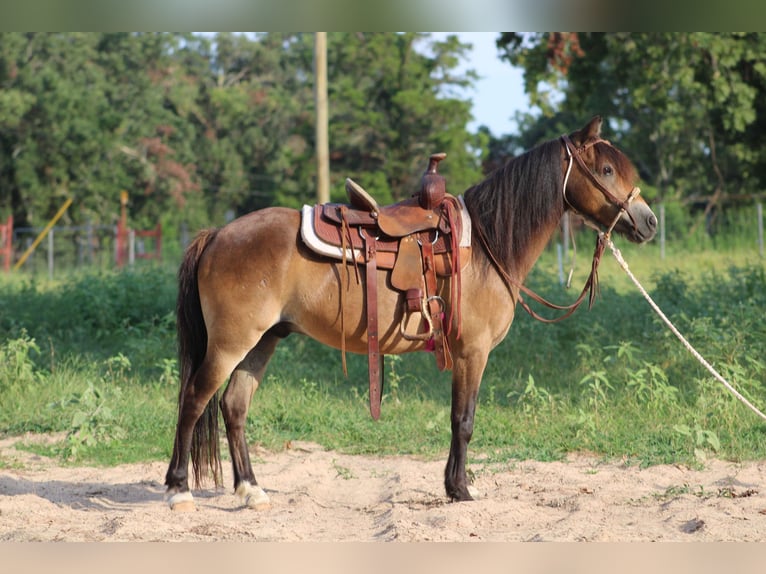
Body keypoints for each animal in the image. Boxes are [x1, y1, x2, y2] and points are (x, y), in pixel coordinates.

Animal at [164, 116, 657, 511]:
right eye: (607, 170)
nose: (649, 221)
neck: (486, 247)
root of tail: (217, 234)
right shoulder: (472, 353)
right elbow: (463, 420)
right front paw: (460, 490)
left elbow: (459, 420)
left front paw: (455, 486)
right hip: (230, 343)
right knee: (193, 400)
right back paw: (179, 491)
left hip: (263, 340)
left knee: (233, 405)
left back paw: (251, 490)